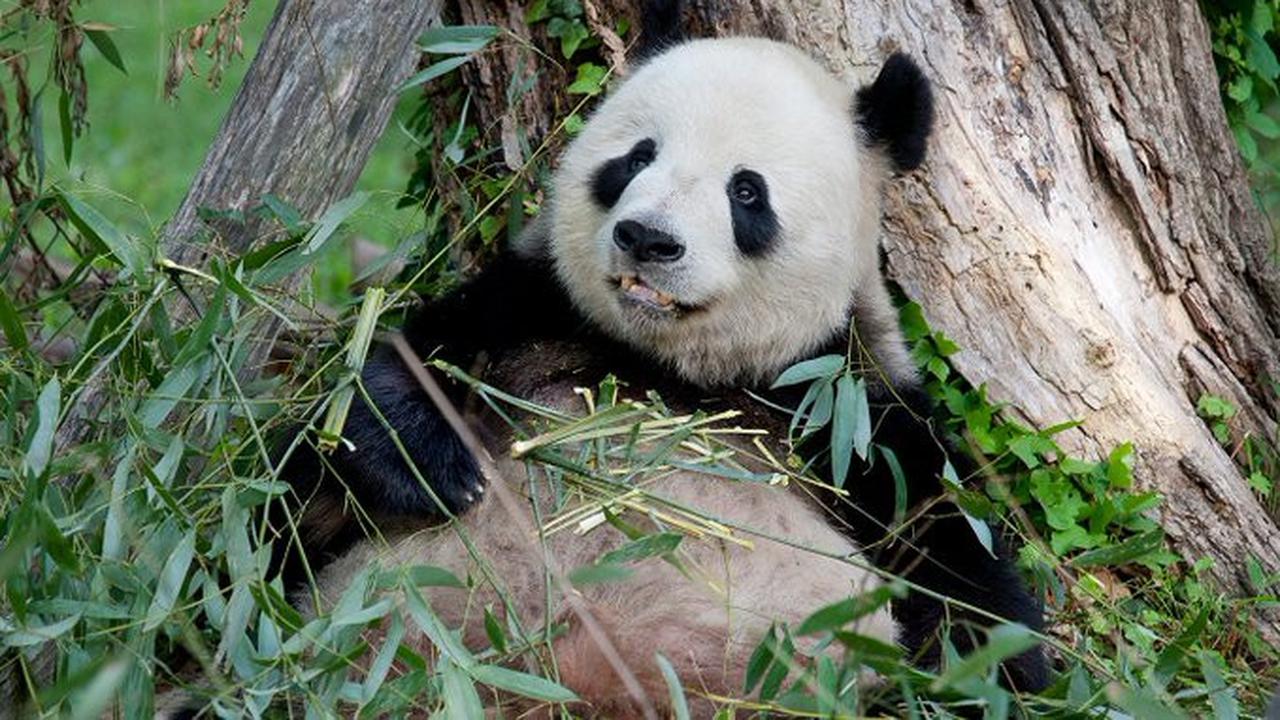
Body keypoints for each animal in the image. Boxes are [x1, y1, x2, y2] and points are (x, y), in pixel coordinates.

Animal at [274, 9, 1049, 717]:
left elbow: (952, 568)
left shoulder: (843, 411)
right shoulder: (535, 314)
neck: (670, 368)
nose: (647, 238)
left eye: (746, 191)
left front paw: (995, 674)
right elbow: (371, 399)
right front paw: (430, 465)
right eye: (638, 157)